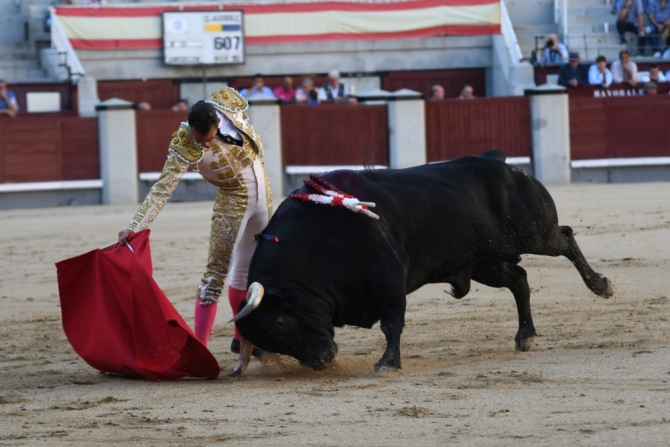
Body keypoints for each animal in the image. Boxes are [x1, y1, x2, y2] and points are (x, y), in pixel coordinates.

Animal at [230, 152, 616, 376]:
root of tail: (502, 163)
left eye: (281, 322)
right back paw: (524, 336)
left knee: (565, 238)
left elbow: (392, 324)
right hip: (482, 262)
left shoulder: (388, 277)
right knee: (519, 278)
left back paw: (601, 285)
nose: (322, 360)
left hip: (534, 234)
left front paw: (387, 363)